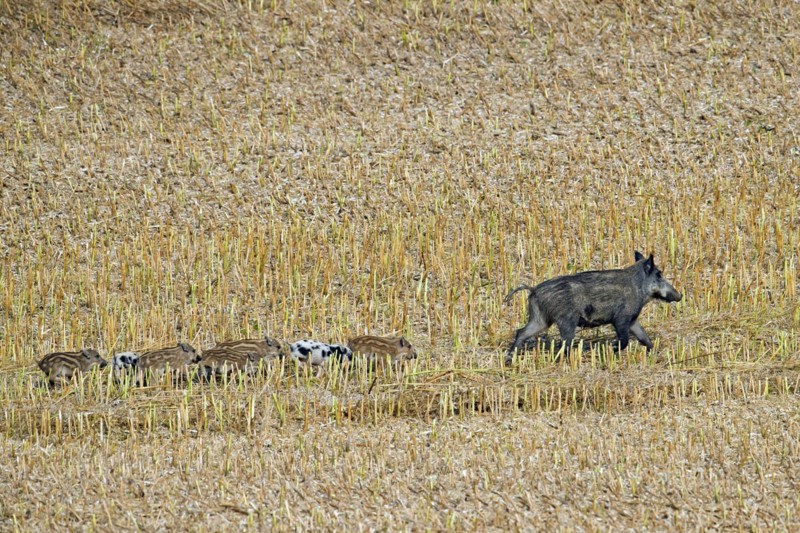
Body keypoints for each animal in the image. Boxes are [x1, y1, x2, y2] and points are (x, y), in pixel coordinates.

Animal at [504, 251, 681, 365]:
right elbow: (624, 340)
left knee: (521, 332)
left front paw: (654, 352)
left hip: (540, 319)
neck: (639, 289)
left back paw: (509, 360)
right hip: (566, 320)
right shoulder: (621, 318)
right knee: (564, 344)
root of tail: (534, 289)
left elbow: (645, 338)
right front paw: (611, 348)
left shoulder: (633, 320)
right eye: (658, 274)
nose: (679, 296)